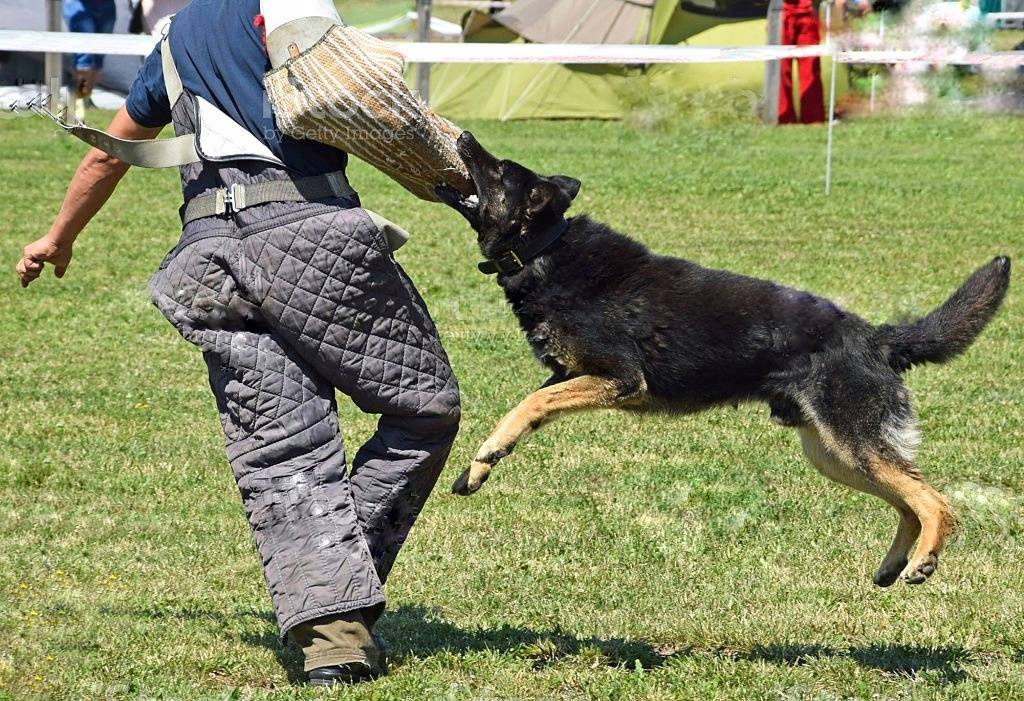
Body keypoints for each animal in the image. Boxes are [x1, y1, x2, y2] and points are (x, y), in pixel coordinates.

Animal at [438, 130, 1007, 585]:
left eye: (498, 169)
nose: (464, 135)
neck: (544, 249)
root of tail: (878, 338)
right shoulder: (570, 376)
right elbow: (522, 409)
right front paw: (483, 462)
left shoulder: (619, 379)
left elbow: (530, 405)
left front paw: (488, 455)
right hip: (835, 455)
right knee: (909, 497)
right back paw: (895, 563)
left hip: (851, 445)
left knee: (935, 501)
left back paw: (923, 560)